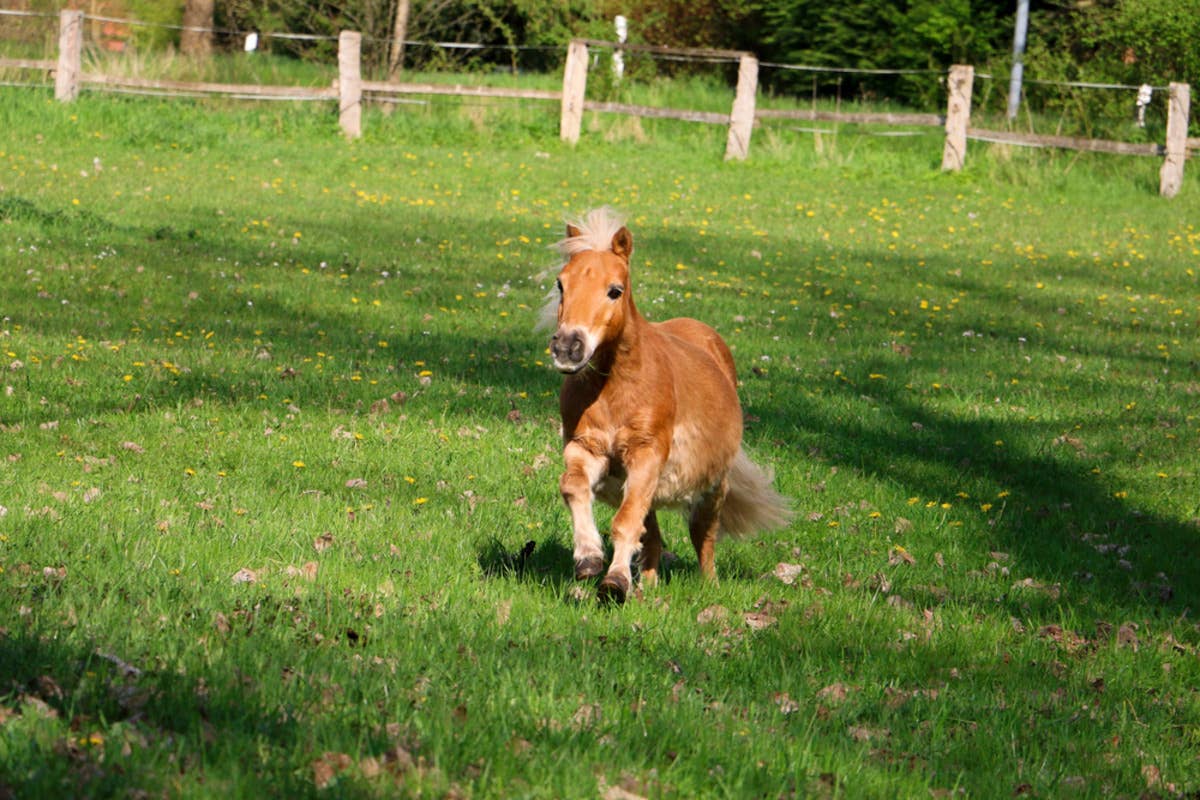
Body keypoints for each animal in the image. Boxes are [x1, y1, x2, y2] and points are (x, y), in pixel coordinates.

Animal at [543, 208, 792, 604]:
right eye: (561, 284)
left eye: (614, 290)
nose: (568, 348)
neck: (616, 389)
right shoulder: (587, 449)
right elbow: (574, 488)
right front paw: (589, 558)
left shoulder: (646, 455)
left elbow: (625, 523)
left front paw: (614, 583)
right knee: (653, 537)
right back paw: (647, 586)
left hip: (712, 487)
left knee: (702, 534)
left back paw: (708, 585)